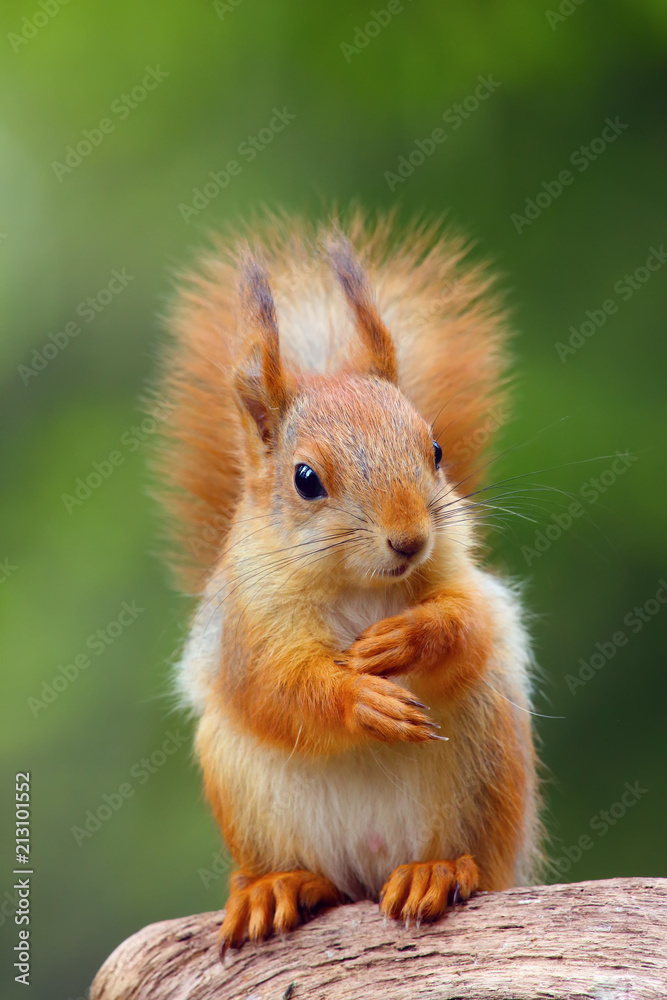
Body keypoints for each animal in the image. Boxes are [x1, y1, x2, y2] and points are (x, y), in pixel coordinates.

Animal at [156, 210, 542, 955]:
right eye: (306, 479)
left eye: (435, 450)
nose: (409, 539)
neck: (358, 586)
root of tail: (372, 867)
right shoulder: (249, 620)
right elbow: (276, 687)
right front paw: (360, 699)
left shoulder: (462, 573)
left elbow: (471, 622)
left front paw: (409, 639)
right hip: (243, 787)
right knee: (316, 878)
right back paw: (278, 886)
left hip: (485, 758)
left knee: (472, 862)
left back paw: (436, 871)